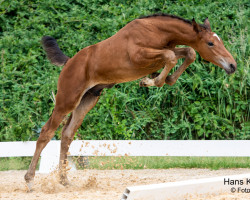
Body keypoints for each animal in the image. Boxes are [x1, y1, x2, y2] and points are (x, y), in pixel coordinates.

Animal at [24, 13, 237, 189]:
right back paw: (30, 180)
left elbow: (187, 54)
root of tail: (69, 63)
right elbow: (171, 56)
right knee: (46, 132)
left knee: (67, 134)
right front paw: (151, 81)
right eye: (210, 43)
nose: (232, 65)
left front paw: (161, 80)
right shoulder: (139, 56)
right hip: (67, 100)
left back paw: (64, 180)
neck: (156, 31)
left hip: (87, 101)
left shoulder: (163, 54)